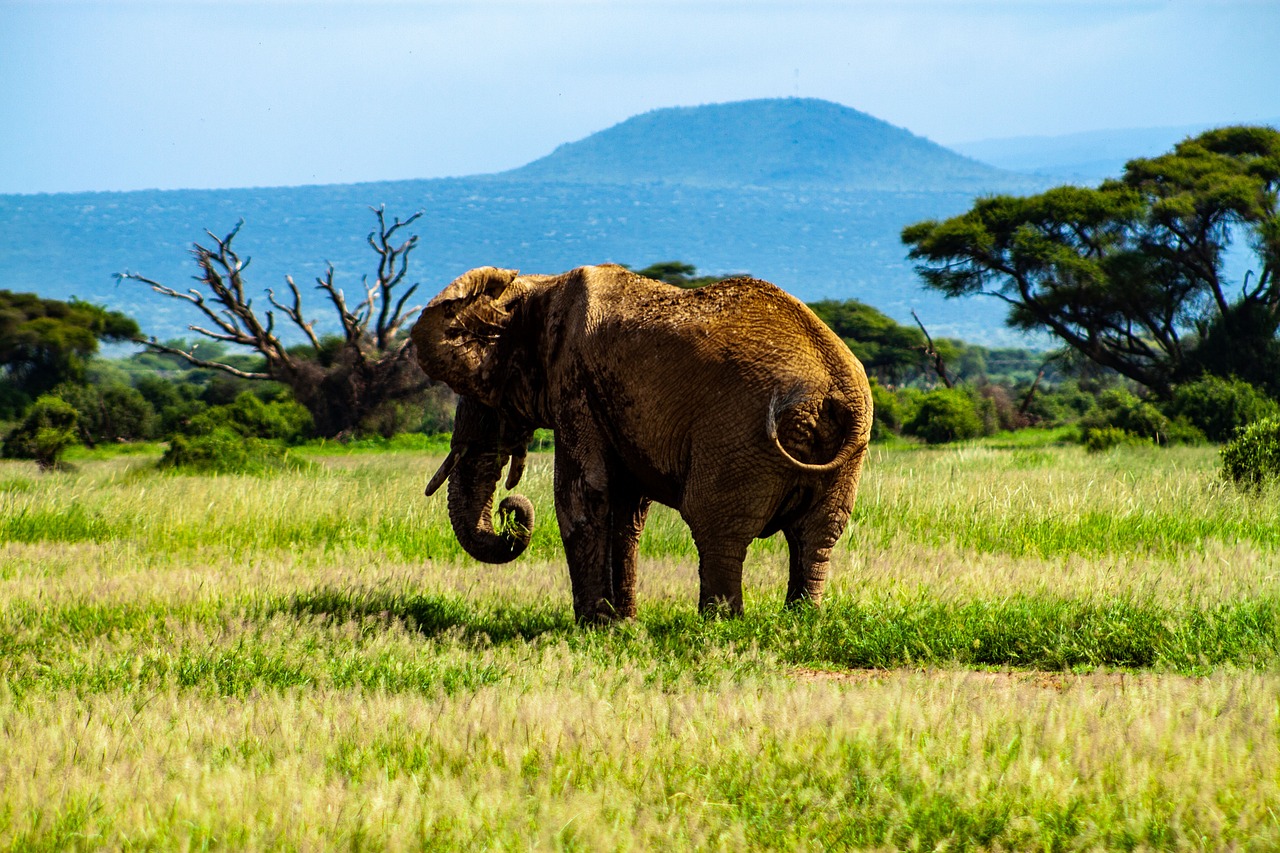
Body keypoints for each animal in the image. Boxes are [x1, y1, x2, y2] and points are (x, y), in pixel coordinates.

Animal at [414, 262, 875, 622]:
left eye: (481, 395)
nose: (511, 509)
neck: (538, 286)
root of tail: (832, 387)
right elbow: (626, 509)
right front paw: (624, 624)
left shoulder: (575, 383)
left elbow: (581, 496)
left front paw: (595, 627)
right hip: (843, 455)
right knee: (817, 535)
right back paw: (800, 619)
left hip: (738, 437)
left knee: (717, 526)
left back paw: (718, 625)